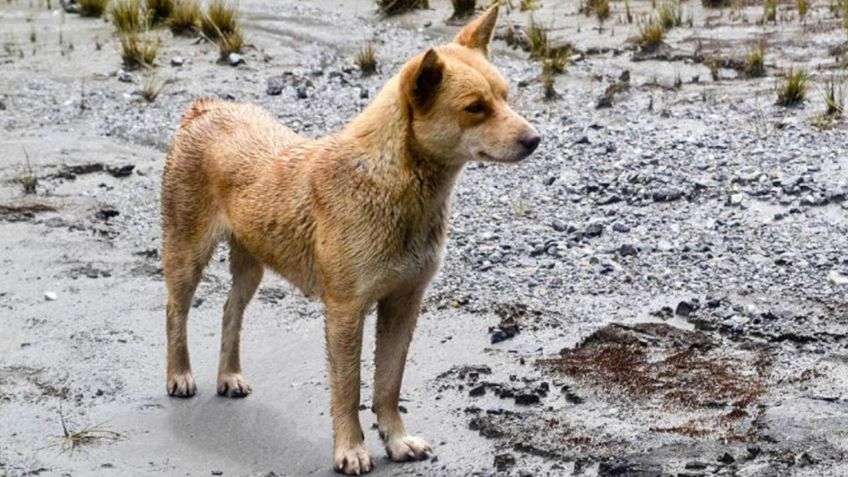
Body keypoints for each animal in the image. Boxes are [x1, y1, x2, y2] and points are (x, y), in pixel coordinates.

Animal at [162, 5, 540, 474]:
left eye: (505, 96)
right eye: (475, 108)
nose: (535, 139)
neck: (394, 185)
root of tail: (204, 109)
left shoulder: (404, 303)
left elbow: (387, 385)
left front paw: (396, 440)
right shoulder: (345, 310)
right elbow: (349, 390)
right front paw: (351, 449)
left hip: (252, 263)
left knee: (231, 311)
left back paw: (228, 375)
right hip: (186, 254)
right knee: (175, 313)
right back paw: (179, 375)